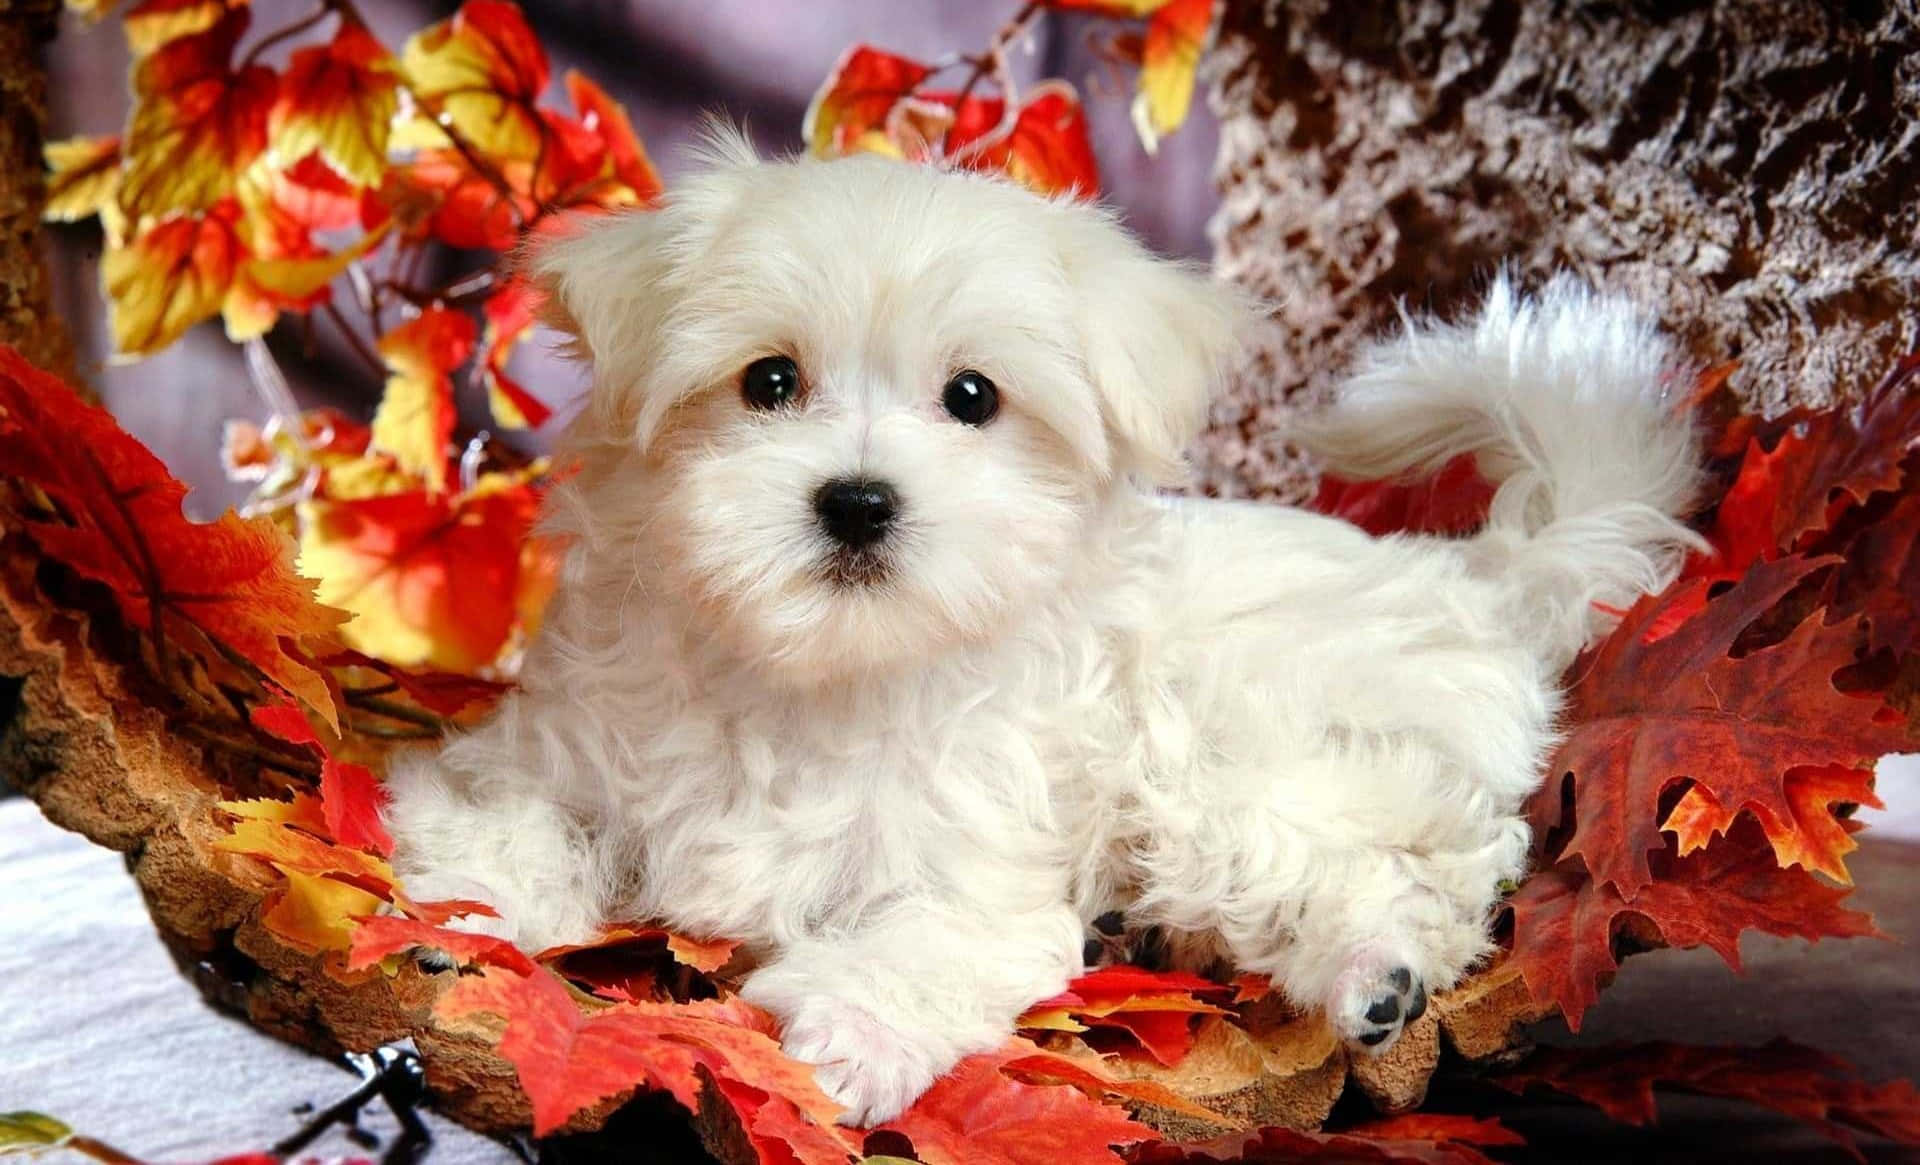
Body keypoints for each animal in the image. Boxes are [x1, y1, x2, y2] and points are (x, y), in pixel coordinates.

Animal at [382, 129, 1704, 1128]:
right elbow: (508, 816)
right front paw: (468, 912)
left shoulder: (980, 862)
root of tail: (1480, 576)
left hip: (1235, 763)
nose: (857, 499)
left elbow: (933, 937)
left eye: (973, 398)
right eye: (767, 382)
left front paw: (848, 1032)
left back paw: (1376, 972)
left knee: (1440, 852)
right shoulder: (558, 743)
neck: (821, 672)